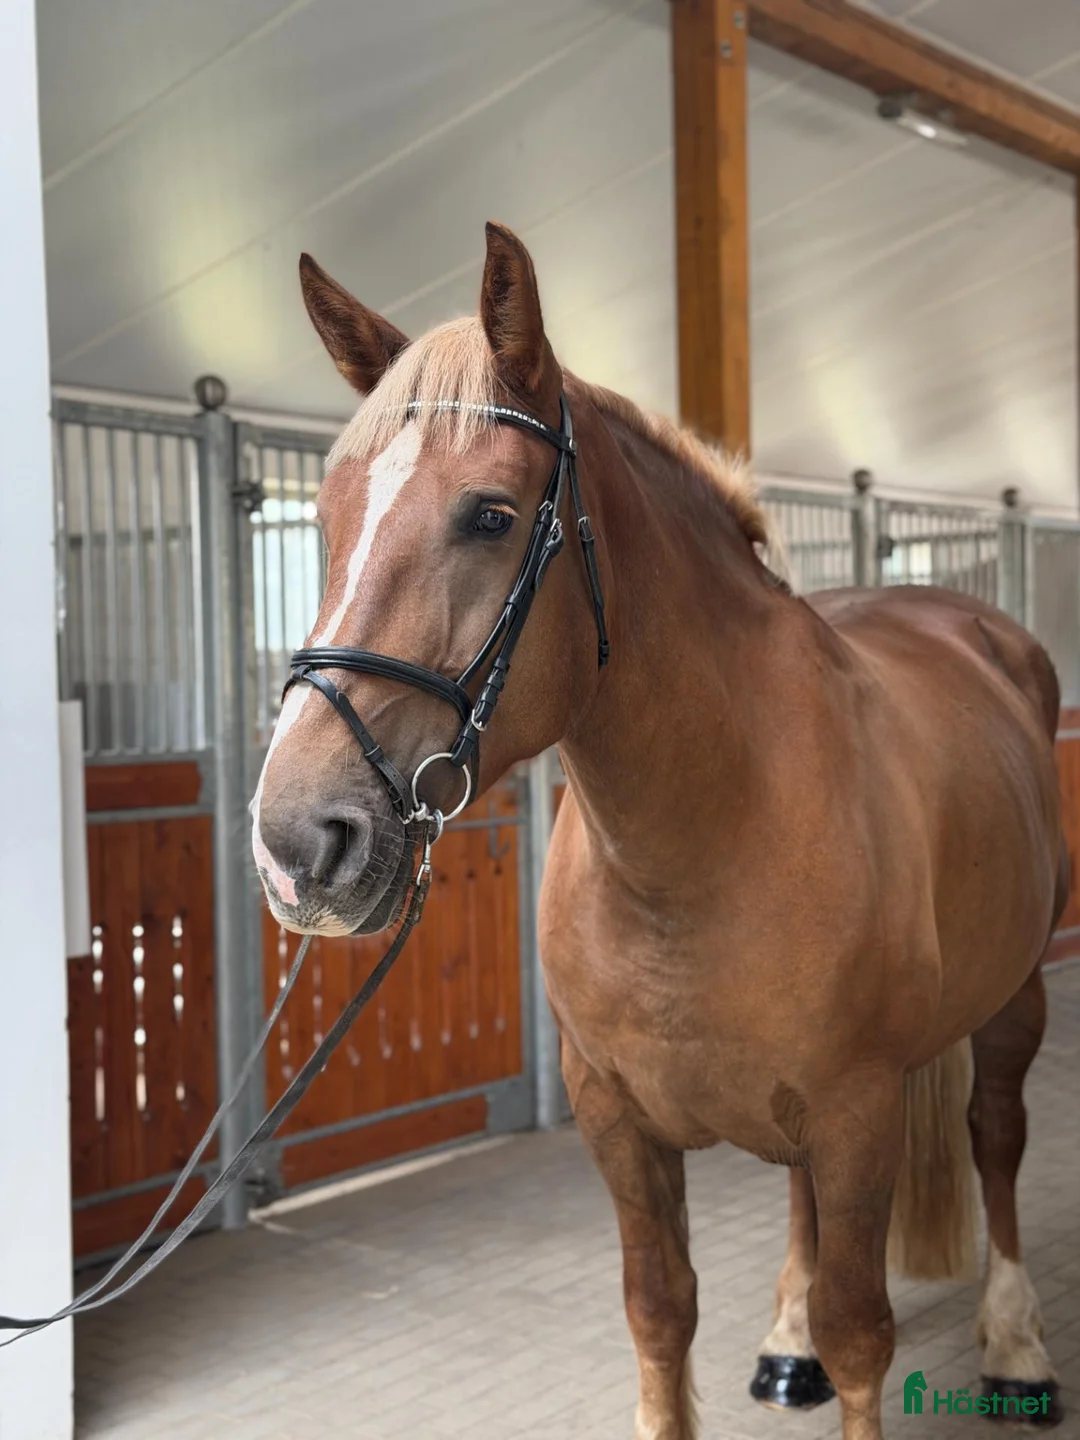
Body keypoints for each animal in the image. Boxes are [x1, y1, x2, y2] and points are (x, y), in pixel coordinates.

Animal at [252, 221, 1065, 1440]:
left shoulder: (858, 1111)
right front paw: (778, 1335)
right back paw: (786, 1339)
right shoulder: (616, 1121)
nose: (299, 842)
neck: (703, 843)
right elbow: (659, 1311)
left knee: (997, 1135)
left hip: (1014, 996)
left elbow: (863, 1334)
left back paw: (1015, 1345)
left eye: (490, 515)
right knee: (800, 1198)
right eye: (328, 516)